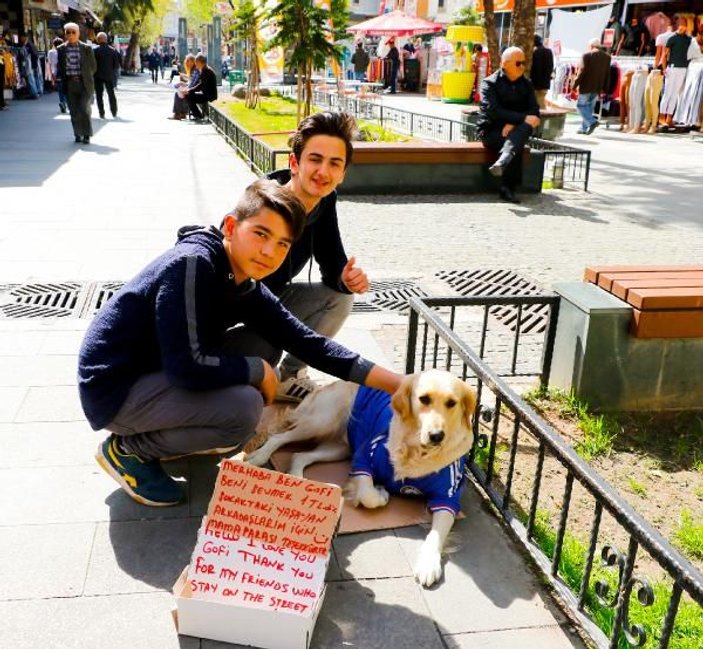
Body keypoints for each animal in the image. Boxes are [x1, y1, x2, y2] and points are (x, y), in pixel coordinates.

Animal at [248, 370, 478, 588]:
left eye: (451, 403)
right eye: (424, 399)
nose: (436, 435)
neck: (416, 451)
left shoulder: (447, 496)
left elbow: (436, 534)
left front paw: (428, 565)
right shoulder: (363, 458)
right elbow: (368, 495)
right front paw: (381, 493)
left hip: (339, 448)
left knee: (299, 455)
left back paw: (300, 480)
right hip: (321, 421)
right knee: (279, 438)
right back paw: (258, 457)